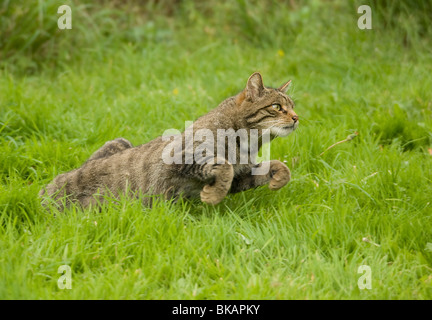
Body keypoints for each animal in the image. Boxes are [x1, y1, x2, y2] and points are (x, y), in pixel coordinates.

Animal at [38, 72, 298, 210]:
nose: (297, 118)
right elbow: (223, 166)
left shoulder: (241, 175)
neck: (248, 142)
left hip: (119, 141)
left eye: (293, 106)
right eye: (277, 107)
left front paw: (278, 179)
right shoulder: (184, 157)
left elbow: (278, 166)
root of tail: (42, 193)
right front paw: (212, 197)